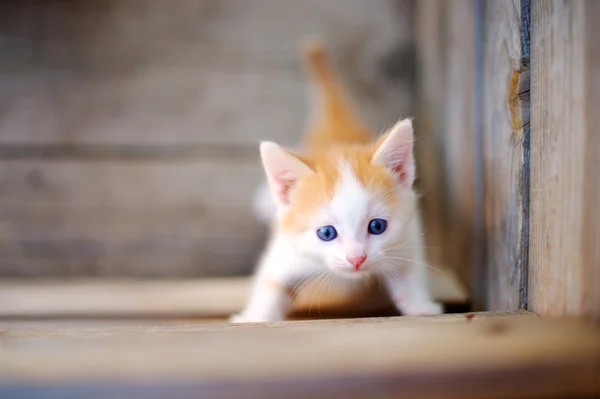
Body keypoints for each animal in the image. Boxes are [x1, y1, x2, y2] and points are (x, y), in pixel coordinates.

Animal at [232, 39, 442, 324]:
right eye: (326, 233)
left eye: (377, 226)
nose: (357, 259)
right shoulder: (287, 250)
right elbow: (270, 282)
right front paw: (254, 317)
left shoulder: (409, 233)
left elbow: (409, 271)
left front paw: (421, 306)